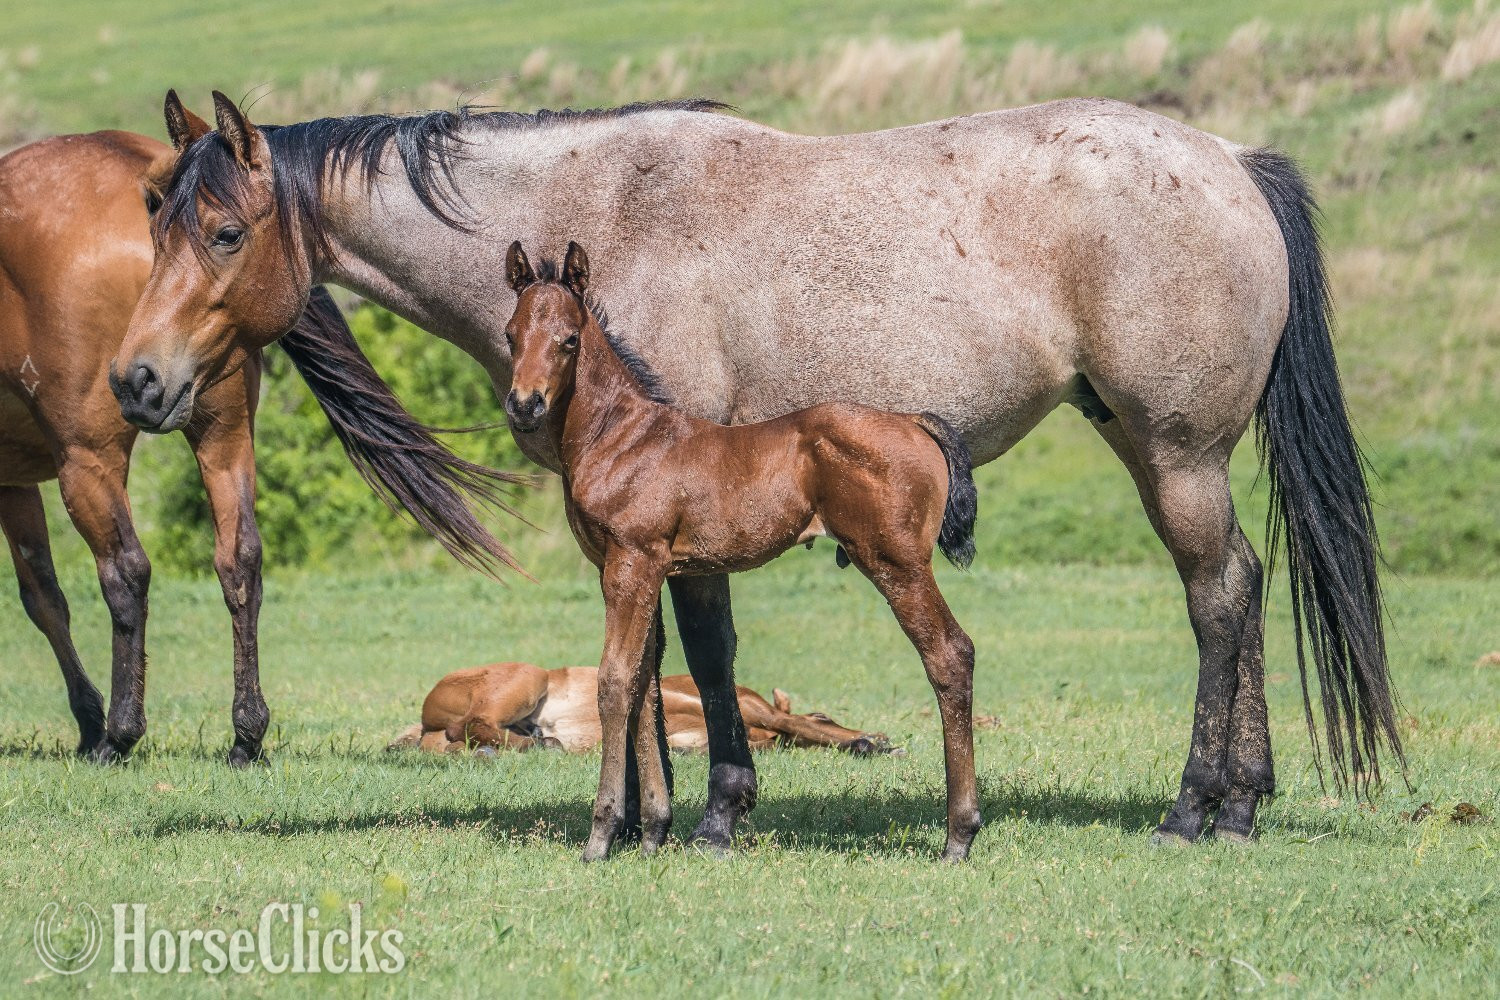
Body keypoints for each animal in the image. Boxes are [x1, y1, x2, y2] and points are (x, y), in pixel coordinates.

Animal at [0, 99, 523, 764]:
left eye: (227, 236)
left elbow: (46, 598)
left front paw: (92, 722)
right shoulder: (15, 481)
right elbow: (43, 592)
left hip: (88, 459)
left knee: (126, 572)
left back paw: (120, 731)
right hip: (219, 435)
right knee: (239, 558)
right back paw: (246, 732)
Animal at [500, 240, 977, 860]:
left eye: (569, 340)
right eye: (510, 333)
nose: (524, 405)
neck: (621, 438)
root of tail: (914, 422)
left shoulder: (631, 562)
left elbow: (614, 681)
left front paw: (601, 836)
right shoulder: (641, 569)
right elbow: (642, 685)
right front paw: (653, 831)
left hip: (897, 562)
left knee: (950, 654)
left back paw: (959, 835)